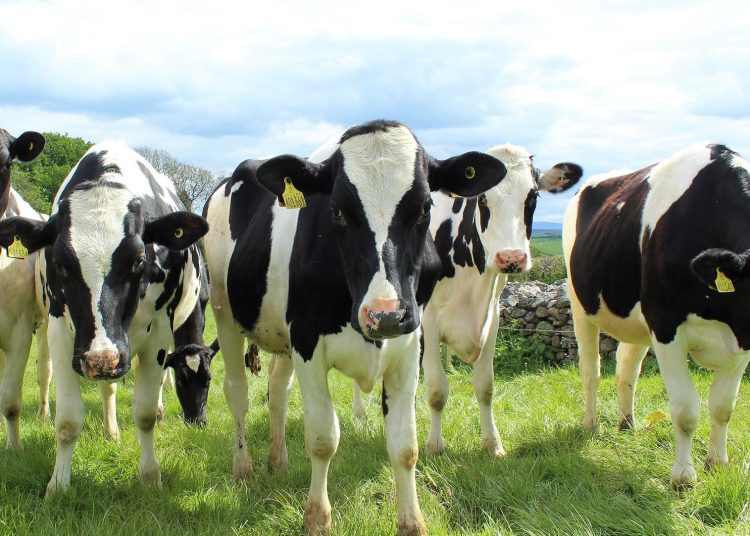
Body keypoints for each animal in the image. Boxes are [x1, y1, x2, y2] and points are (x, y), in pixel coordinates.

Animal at [0, 141, 208, 495]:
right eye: (60, 264)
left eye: (138, 260)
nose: (102, 359)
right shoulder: (61, 333)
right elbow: (68, 419)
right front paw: (58, 485)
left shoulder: (157, 336)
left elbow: (145, 413)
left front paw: (150, 477)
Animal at [203, 120, 507, 535]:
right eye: (337, 211)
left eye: (425, 207)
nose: (385, 314)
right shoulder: (308, 343)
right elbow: (322, 437)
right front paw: (317, 517)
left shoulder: (410, 345)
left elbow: (404, 445)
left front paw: (412, 522)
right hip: (224, 311)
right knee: (237, 391)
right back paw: (243, 468)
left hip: (280, 335)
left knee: (278, 392)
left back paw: (278, 461)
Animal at [563, 143, 750, 488]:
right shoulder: (666, 325)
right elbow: (686, 409)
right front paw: (683, 477)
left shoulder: (743, 337)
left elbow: (723, 406)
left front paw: (717, 464)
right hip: (580, 304)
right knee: (591, 370)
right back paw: (591, 424)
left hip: (637, 320)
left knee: (626, 367)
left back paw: (626, 423)